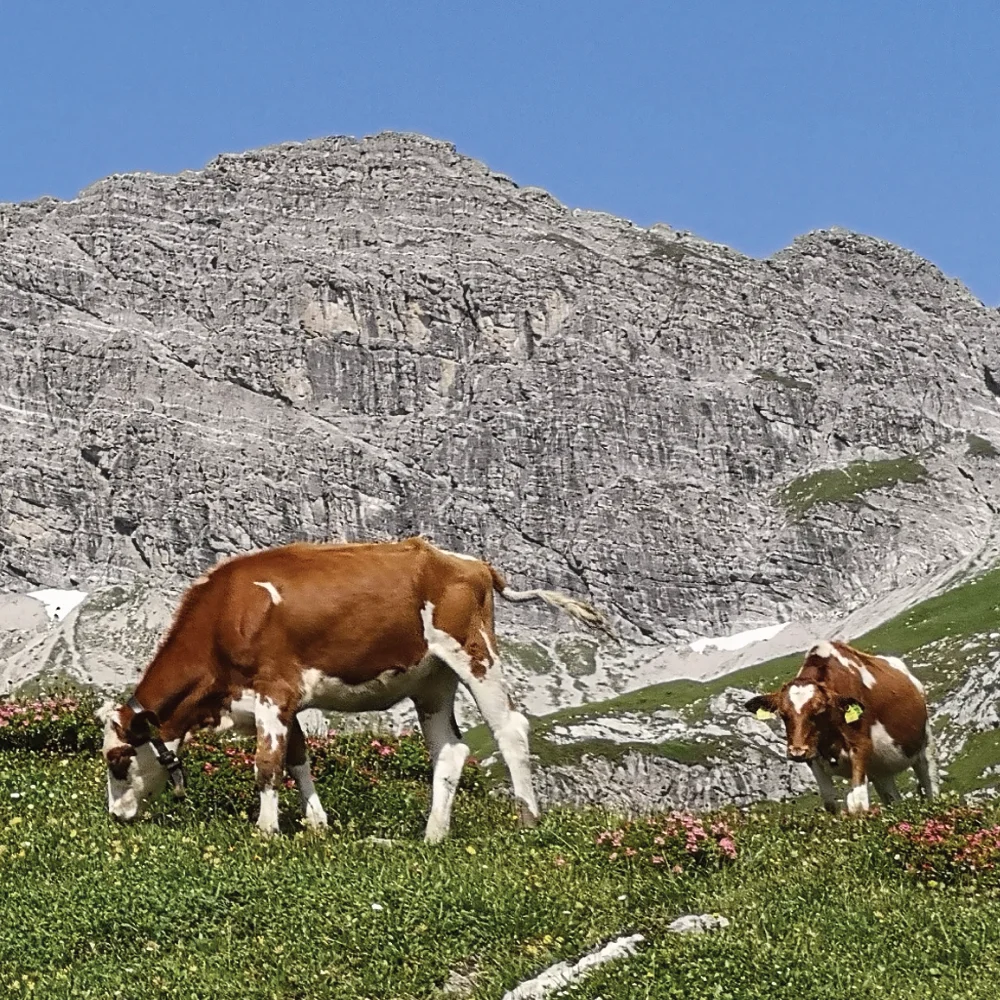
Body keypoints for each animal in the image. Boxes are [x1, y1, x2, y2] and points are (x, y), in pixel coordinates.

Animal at [99, 536, 608, 840]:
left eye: (118, 760)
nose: (116, 815)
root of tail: (471, 563)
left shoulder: (273, 691)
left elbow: (268, 765)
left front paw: (266, 831)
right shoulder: (282, 701)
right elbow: (298, 758)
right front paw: (317, 823)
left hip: (474, 653)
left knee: (510, 728)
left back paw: (529, 820)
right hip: (432, 680)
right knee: (449, 750)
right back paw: (433, 835)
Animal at [744, 640, 936, 812]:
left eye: (818, 711)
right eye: (783, 714)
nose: (796, 751)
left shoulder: (861, 746)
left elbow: (857, 802)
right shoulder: (813, 757)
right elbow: (830, 802)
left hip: (924, 747)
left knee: (930, 784)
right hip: (880, 769)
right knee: (893, 798)